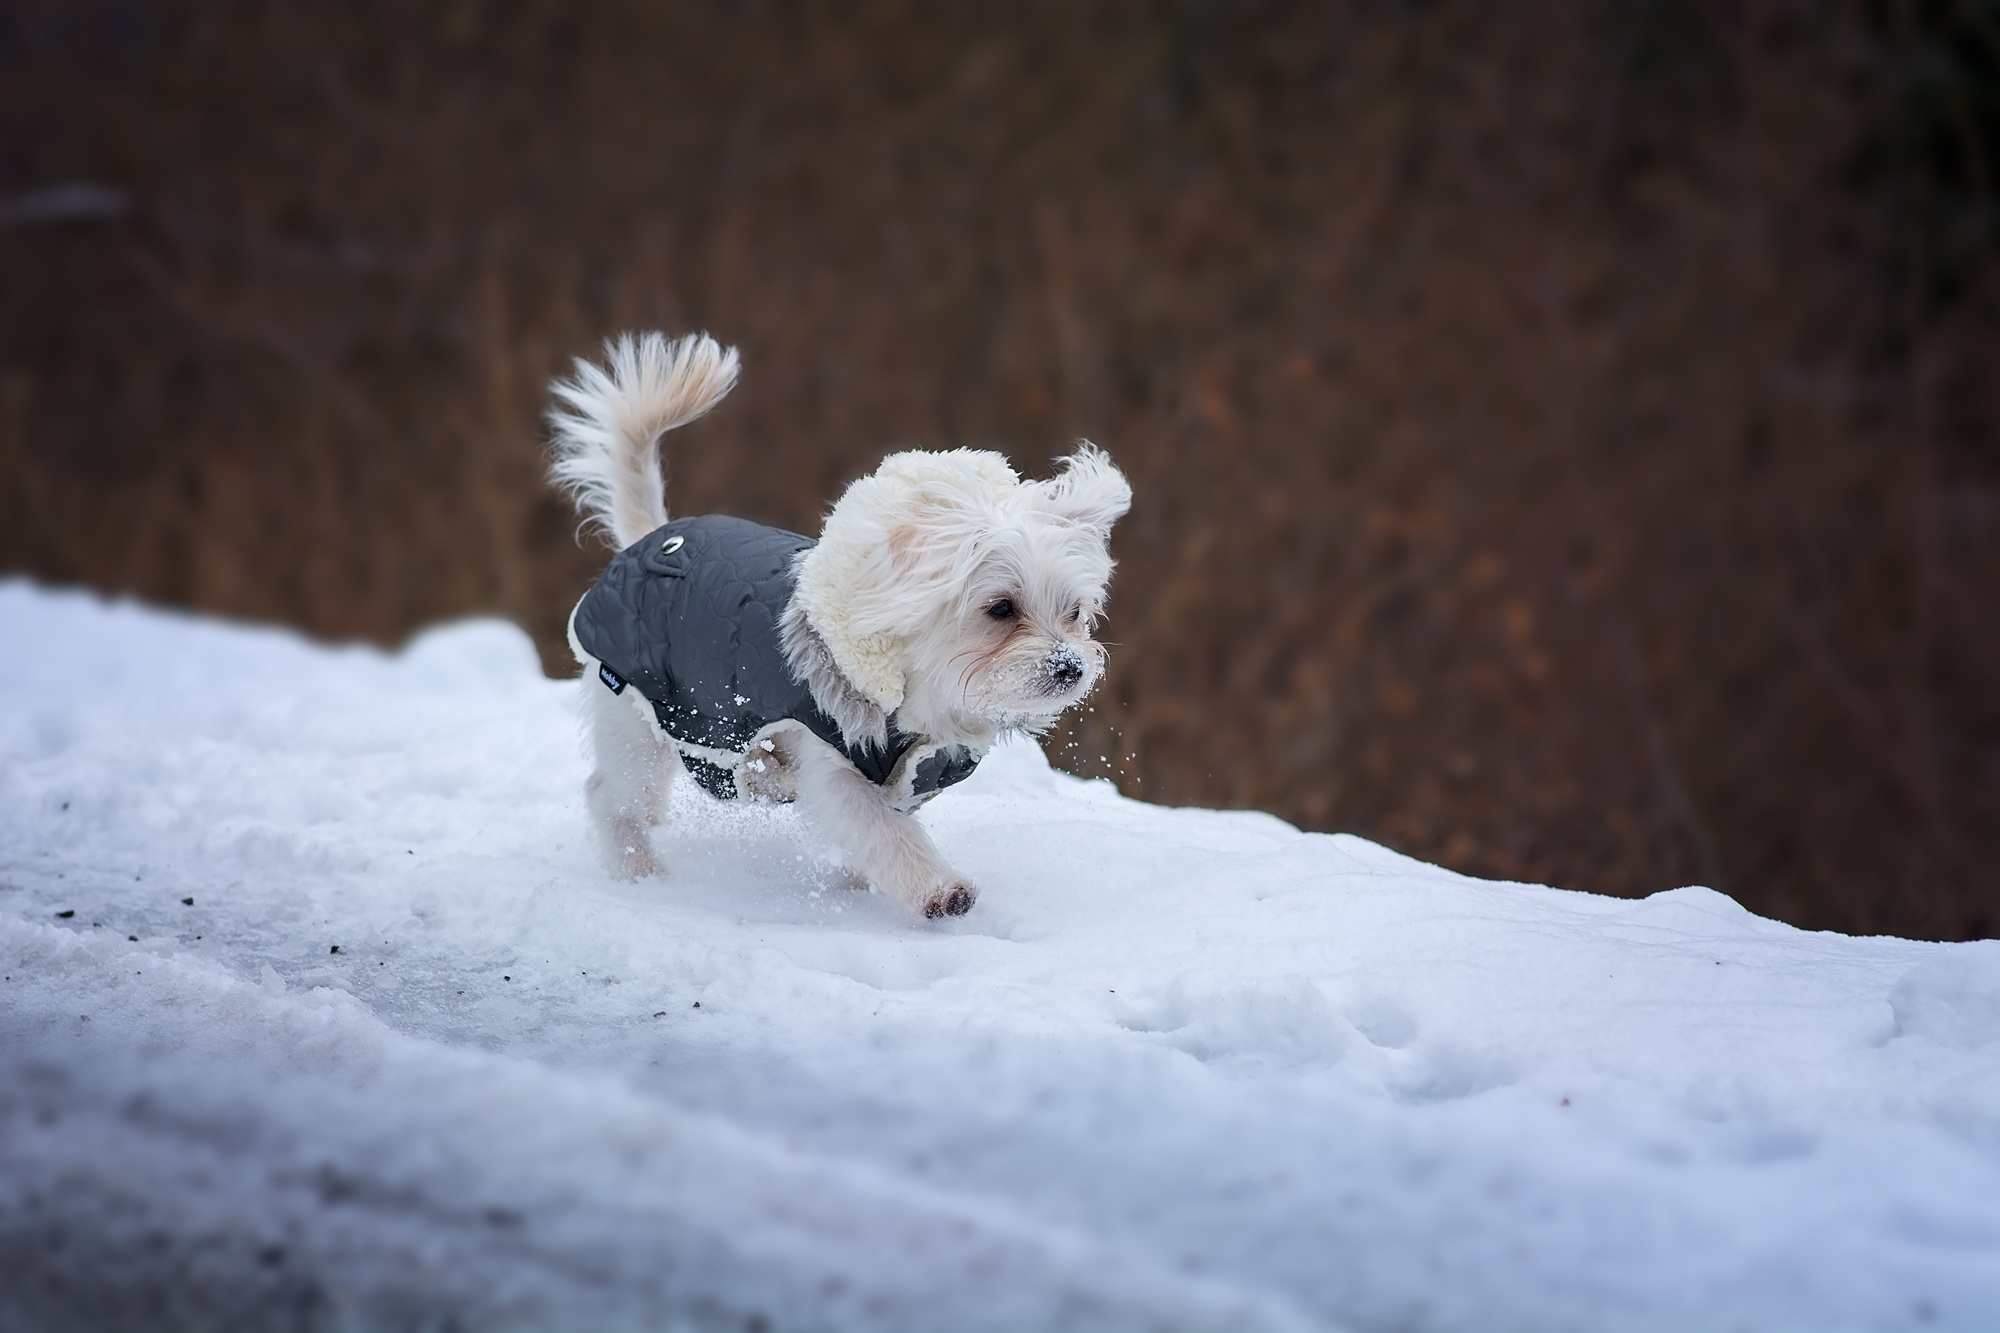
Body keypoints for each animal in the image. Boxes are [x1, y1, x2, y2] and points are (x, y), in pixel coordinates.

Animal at [548, 330, 1136, 912]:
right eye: (1001, 609)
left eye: (1075, 613)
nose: (1070, 667)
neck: (920, 697)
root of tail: (651, 538)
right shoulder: (834, 764)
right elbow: (884, 832)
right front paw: (939, 889)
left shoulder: (908, 776)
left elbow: (877, 836)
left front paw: (861, 883)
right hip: (638, 714)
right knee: (610, 795)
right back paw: (639, 871)